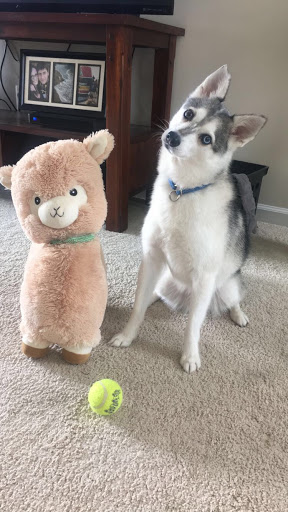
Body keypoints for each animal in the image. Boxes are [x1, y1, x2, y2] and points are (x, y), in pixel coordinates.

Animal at [109, 66, 266, 374]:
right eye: (189, 113)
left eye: (206, 139)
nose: (172, 137)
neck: (182, 190)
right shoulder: (152, 258)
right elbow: (137, 307)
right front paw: (128, 335)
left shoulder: (204, 276)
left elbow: (193, 325)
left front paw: (190, 355)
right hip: (163, 277)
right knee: (153, 293)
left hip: (227, 284)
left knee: (232, 299)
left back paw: (238, 314)